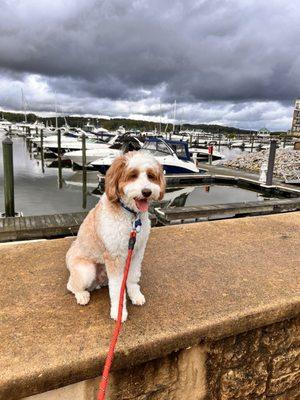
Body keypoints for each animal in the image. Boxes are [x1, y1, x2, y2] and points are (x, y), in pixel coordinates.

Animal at [65, 150, 165, 322]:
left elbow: (132, 277)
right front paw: (118, 312)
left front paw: (135, 295)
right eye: (133, 175)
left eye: (151, 176)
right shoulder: (115, 256)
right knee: (71, 285)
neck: (131, 216)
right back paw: (82, 295)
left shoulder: (136, 252)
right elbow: (118, 288)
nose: (146, 192)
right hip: (86, 270)